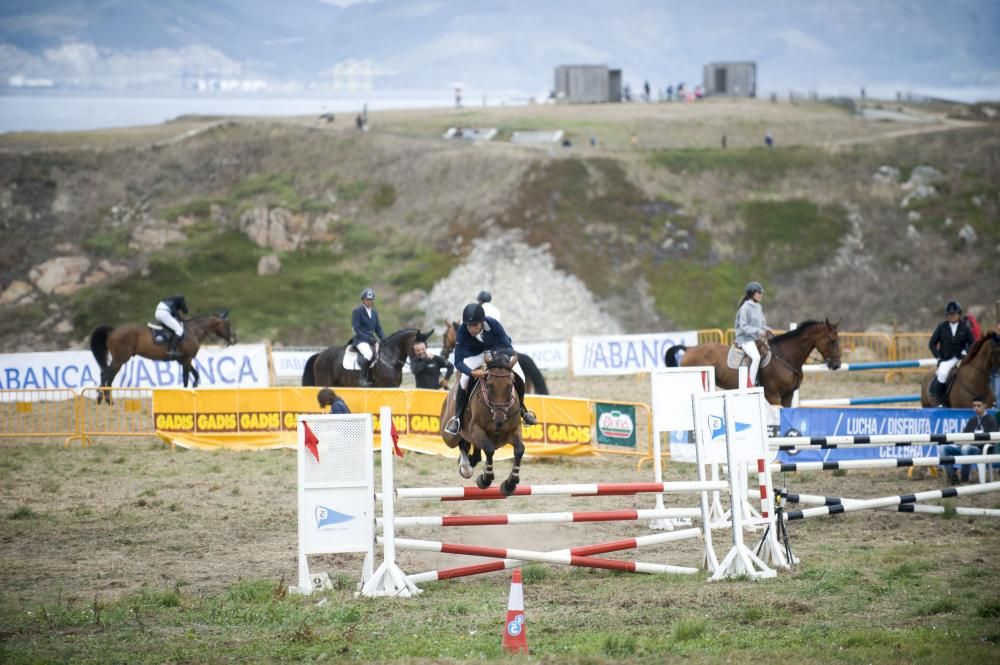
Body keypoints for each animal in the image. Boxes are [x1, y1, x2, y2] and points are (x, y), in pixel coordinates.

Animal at [89, 308, 236, 402]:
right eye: (228, 324)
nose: (233, 340)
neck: (192, 331)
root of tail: (113, 330)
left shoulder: (183, 360)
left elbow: (195, 374)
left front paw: (194, 390)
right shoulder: (187, 359)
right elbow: (186, 378)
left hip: (118, 359)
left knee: (107, 374)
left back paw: (103, 398)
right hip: (120, 359)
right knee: (107, 374)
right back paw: (105, 398)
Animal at [302, 328, 432, 386]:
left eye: (426, 346)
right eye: (418, 347)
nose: (424, 362)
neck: (389, 359)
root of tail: (320, 355)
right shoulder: (385, 386)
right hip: (324, 382)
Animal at [442, 350, 528, 496]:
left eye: (510, 385)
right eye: (489, 385)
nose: (499, 421)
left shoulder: (514, 430)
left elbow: (519, 449)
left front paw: (510, 484)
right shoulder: (476, 429)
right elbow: (489, 449)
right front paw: (485, 479)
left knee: (472, 450)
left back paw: (469, 463)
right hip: (449, 437)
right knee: (461, 443)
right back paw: (465, 467)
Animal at [664, 316, 844, 404]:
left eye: (838, 340)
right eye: (831, 340)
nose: (836, 364)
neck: (785, 357)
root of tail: (689, 349)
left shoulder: (788, 396)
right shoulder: (773, 396)